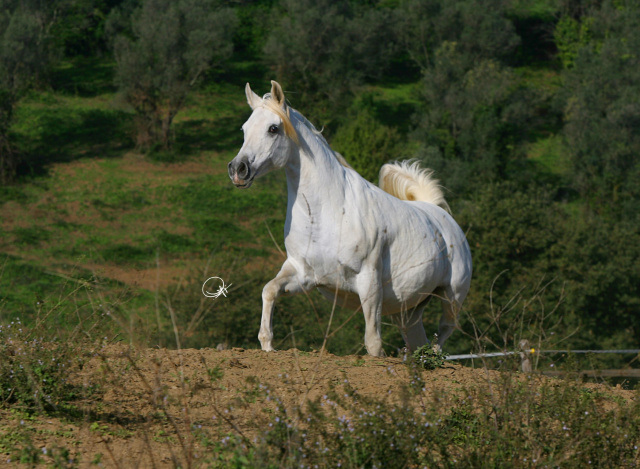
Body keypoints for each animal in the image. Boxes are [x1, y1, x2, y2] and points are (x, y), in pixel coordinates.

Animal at [229, 82, 470, 356]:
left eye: (273, 128)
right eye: (244, 129)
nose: (238, 169)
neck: (325, 213)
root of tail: (440, 215)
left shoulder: (368, 281)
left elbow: (373, 342)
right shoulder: (302, 274)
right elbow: (269, 290)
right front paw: (267, 344)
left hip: (452, 298)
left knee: (442, 336)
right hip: (408, 310)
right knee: (418, 341)